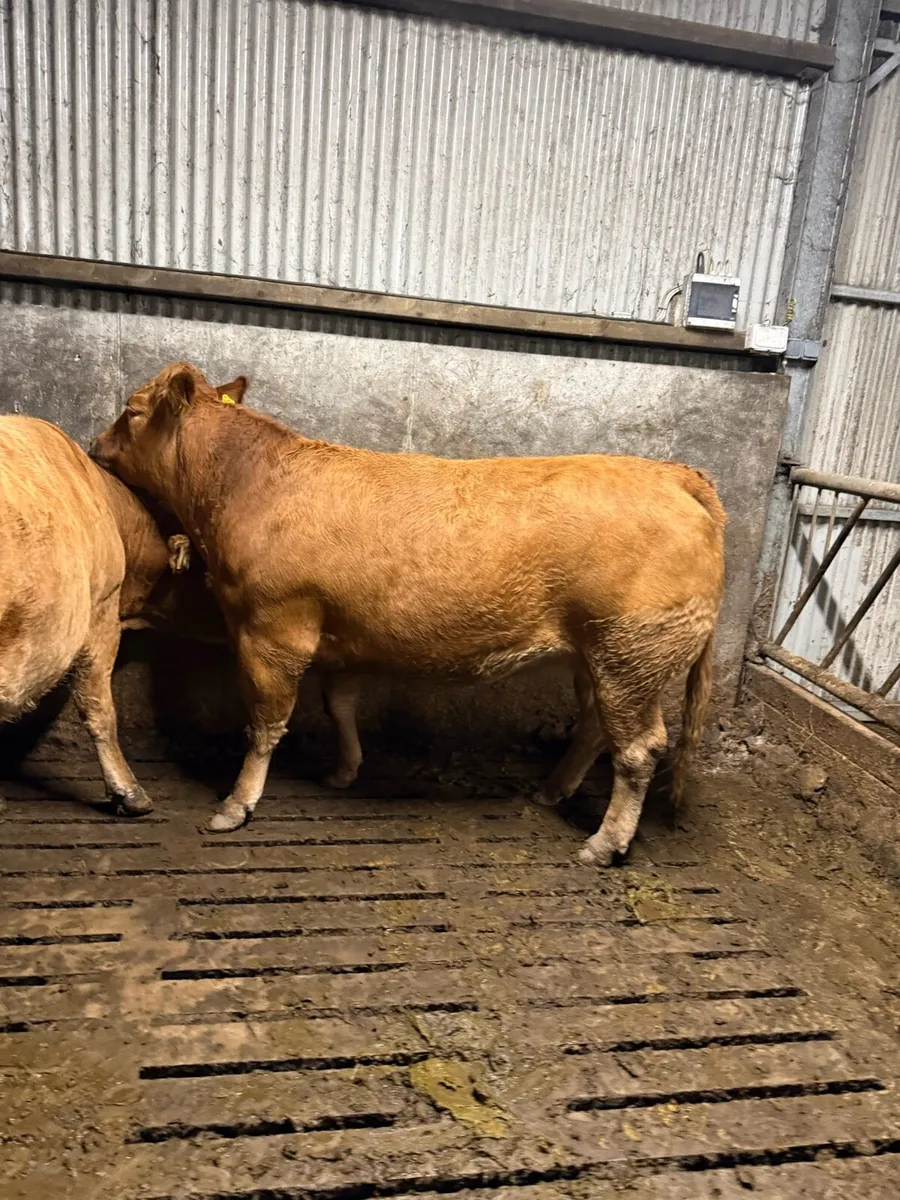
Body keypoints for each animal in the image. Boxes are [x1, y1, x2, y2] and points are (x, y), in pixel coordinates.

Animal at [92, 362, 726, 865]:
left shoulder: (270, 629)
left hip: (632, 652)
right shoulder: (342, 634)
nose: (96, 445)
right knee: (597, 726)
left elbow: (266, 723)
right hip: (598, 655)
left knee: (639, 749)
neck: (247, 484)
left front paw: (235, 805)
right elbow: (340, 705)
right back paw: (553, 791)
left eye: (131, 411)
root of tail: (674, 473)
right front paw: (343, 771)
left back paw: (604, 843)